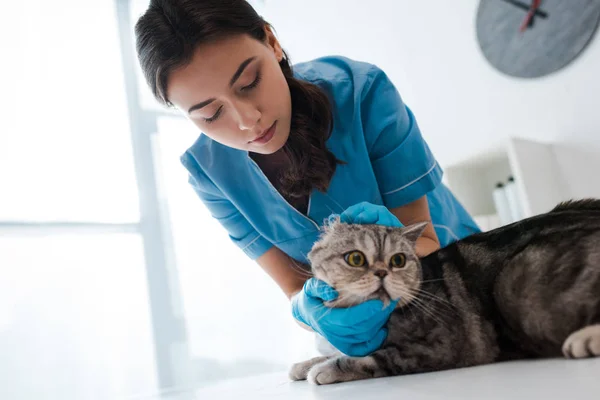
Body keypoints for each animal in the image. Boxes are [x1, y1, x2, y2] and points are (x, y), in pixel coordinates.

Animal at [290, 200, 600, 384]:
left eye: (397, 260)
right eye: (355, 258)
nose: (381, 273)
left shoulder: (438, 348)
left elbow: (371, 359)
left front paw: (325, 369)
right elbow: (331, 351)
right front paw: (305, 363)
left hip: (516, 283)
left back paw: (585, 340)